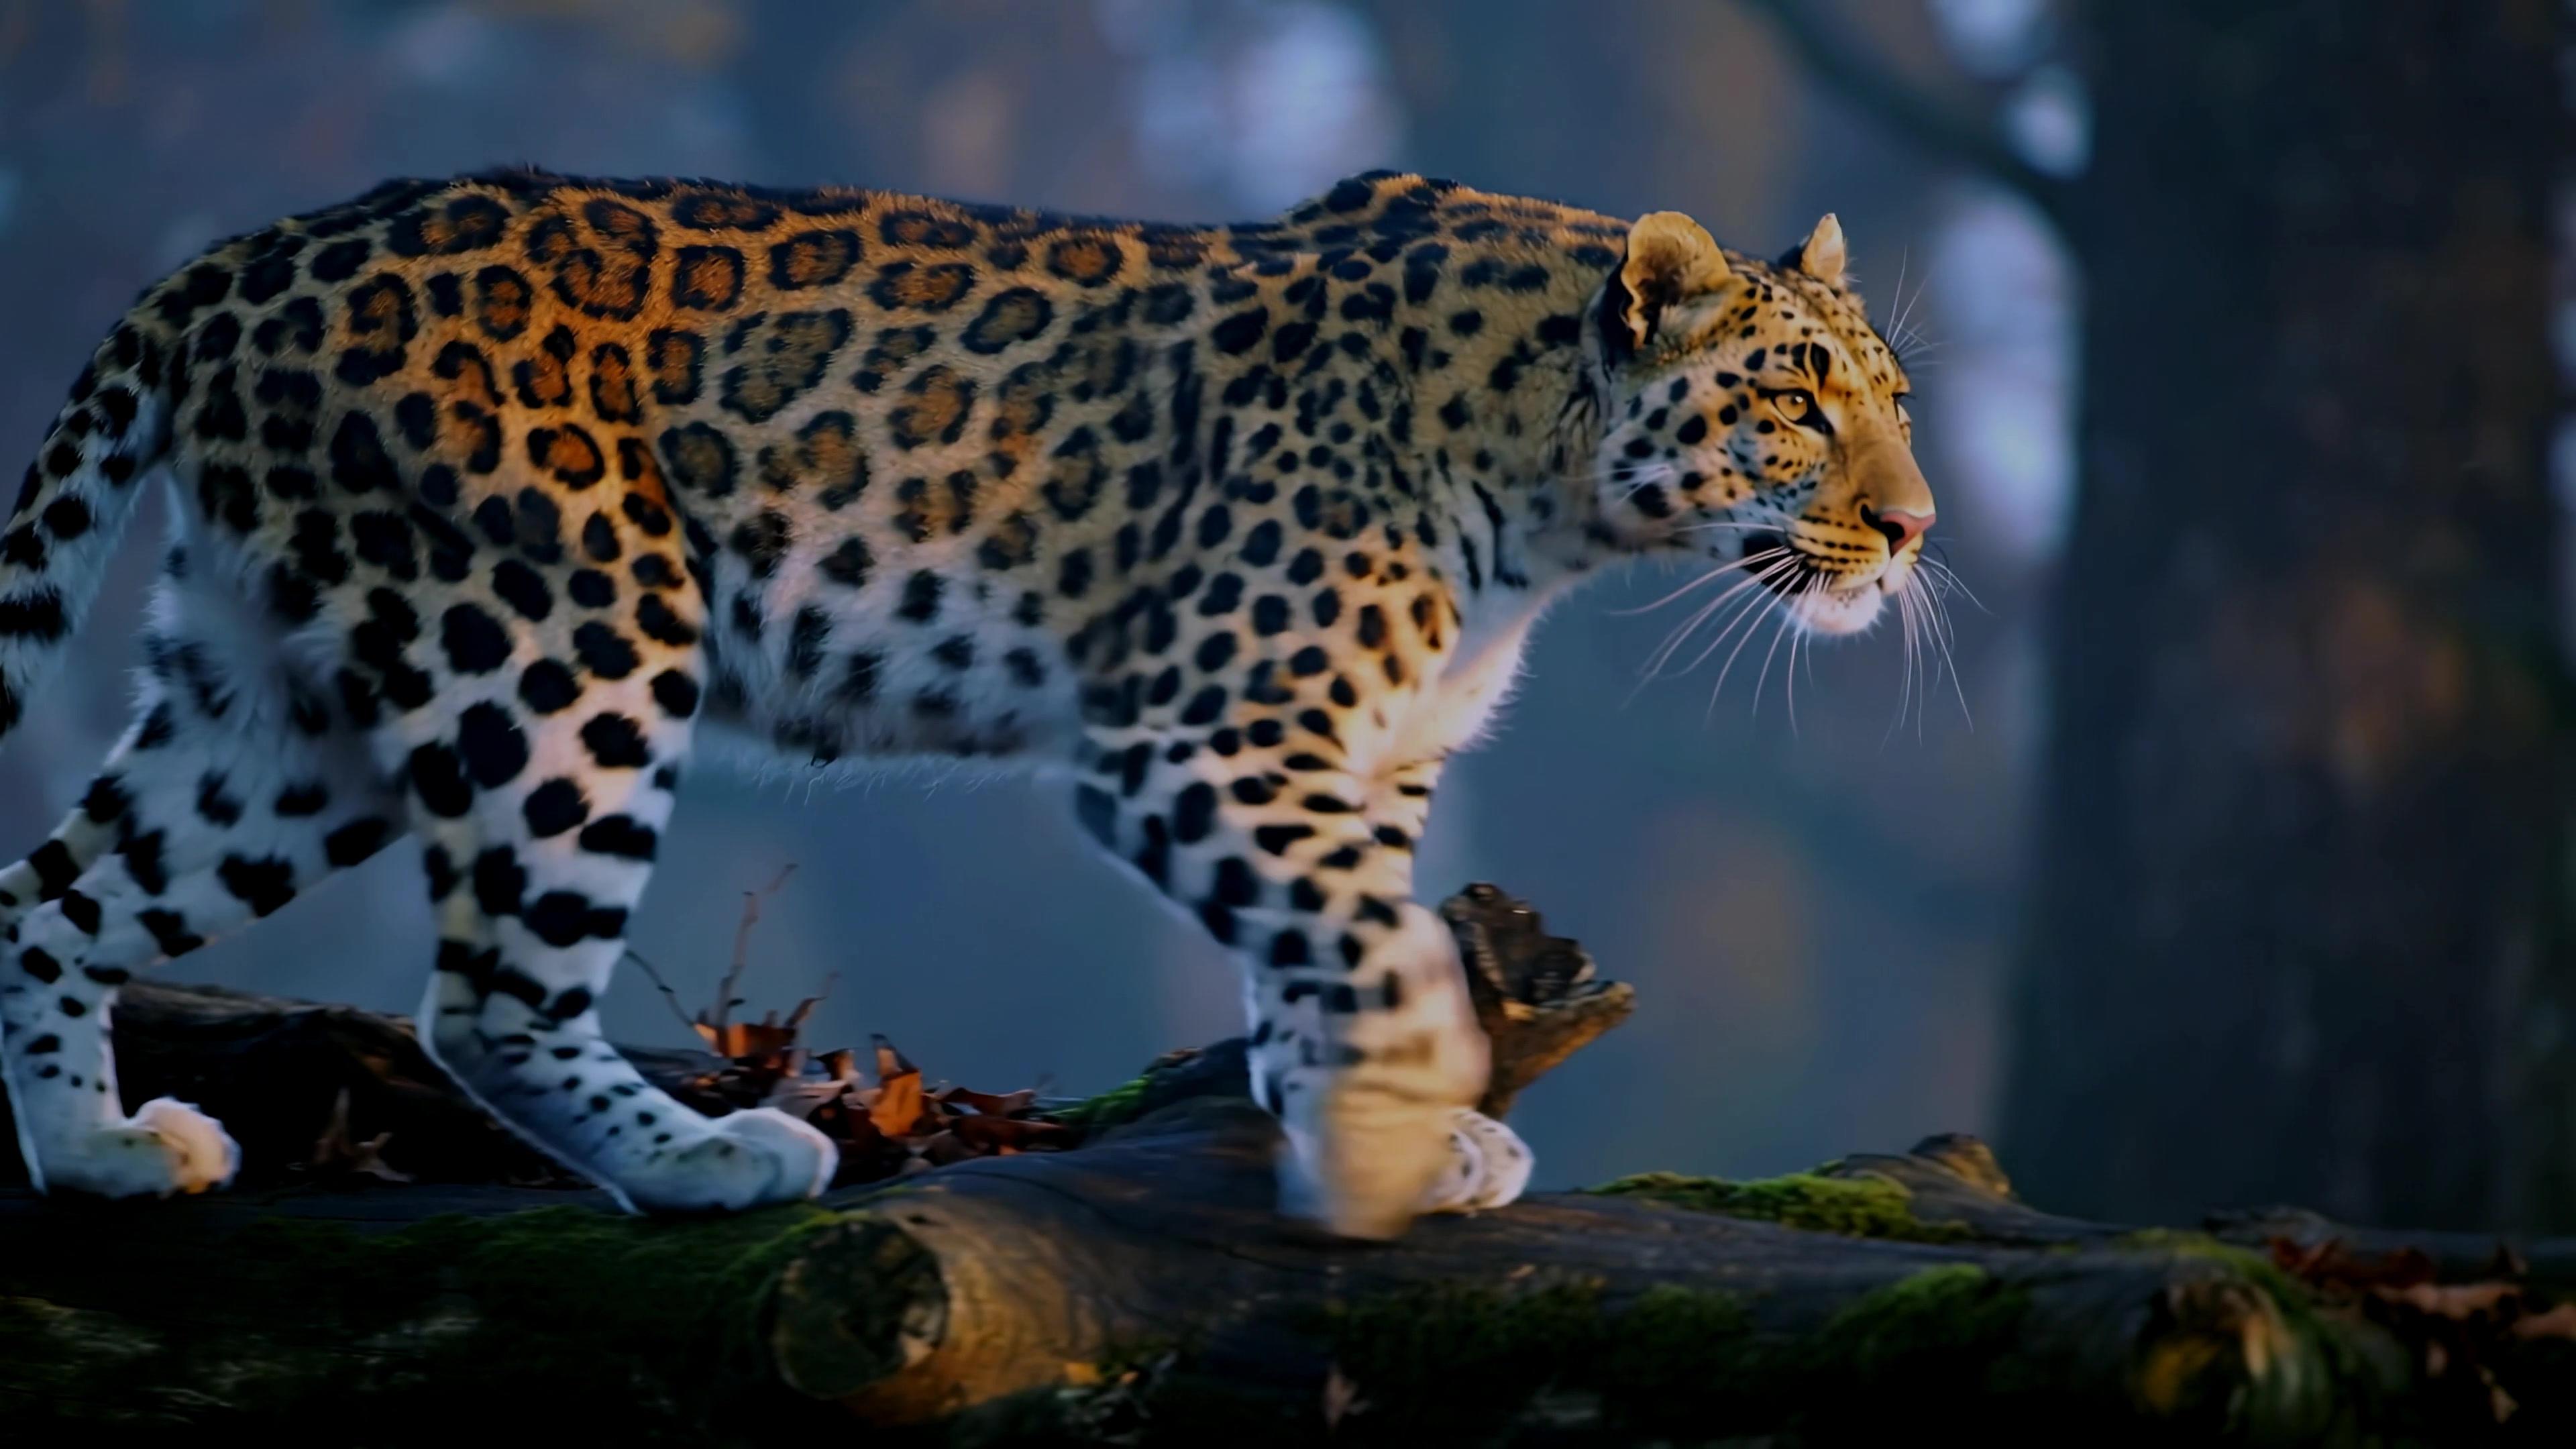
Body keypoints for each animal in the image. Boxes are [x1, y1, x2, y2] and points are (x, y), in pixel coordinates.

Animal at [0, 167, 1931, 1239]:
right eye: (1795, 400)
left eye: (1895, 398)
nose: (1915, 529)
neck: (1555, 497)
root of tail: (241, 257)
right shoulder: (1199, 737)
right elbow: (1383, 956)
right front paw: (1390, 1147)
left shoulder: (1362, 764)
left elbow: (1330, 948)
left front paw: (1367, 1125)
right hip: (566, 645)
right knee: (483, 1001)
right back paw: (707, 1165)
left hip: (279, 708)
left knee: (48, 896)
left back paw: (97, 1153)